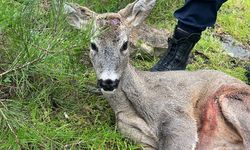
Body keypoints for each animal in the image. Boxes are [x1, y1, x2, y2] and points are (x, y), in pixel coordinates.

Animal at [65, 0, 250, 149]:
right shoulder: (138, 137)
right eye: (93, 45)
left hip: (233, 101)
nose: (108, 82)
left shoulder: (177, 117)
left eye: (125, 44)